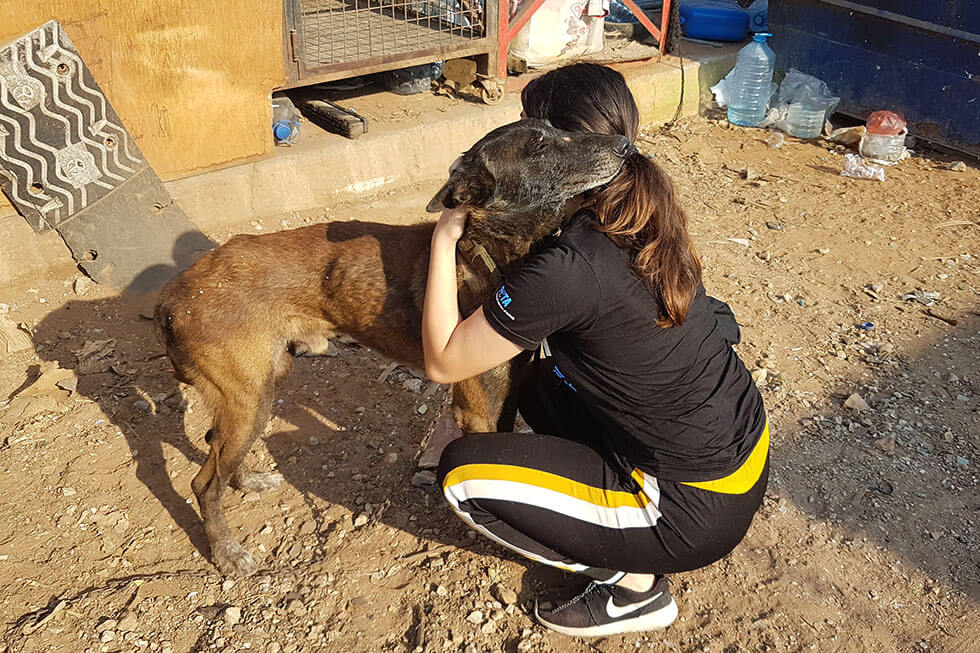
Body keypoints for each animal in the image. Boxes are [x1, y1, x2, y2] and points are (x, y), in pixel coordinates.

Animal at [155, 119, 631, 576]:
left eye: (556, 128)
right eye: (539, 146)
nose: (625, 145)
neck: (486, 252)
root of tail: (176, 292)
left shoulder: (508, 390)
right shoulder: (477, 410)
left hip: (265, 385)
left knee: (218, 450)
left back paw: (247, 481)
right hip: (250, 398)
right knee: (203, 483)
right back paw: (227, 551)